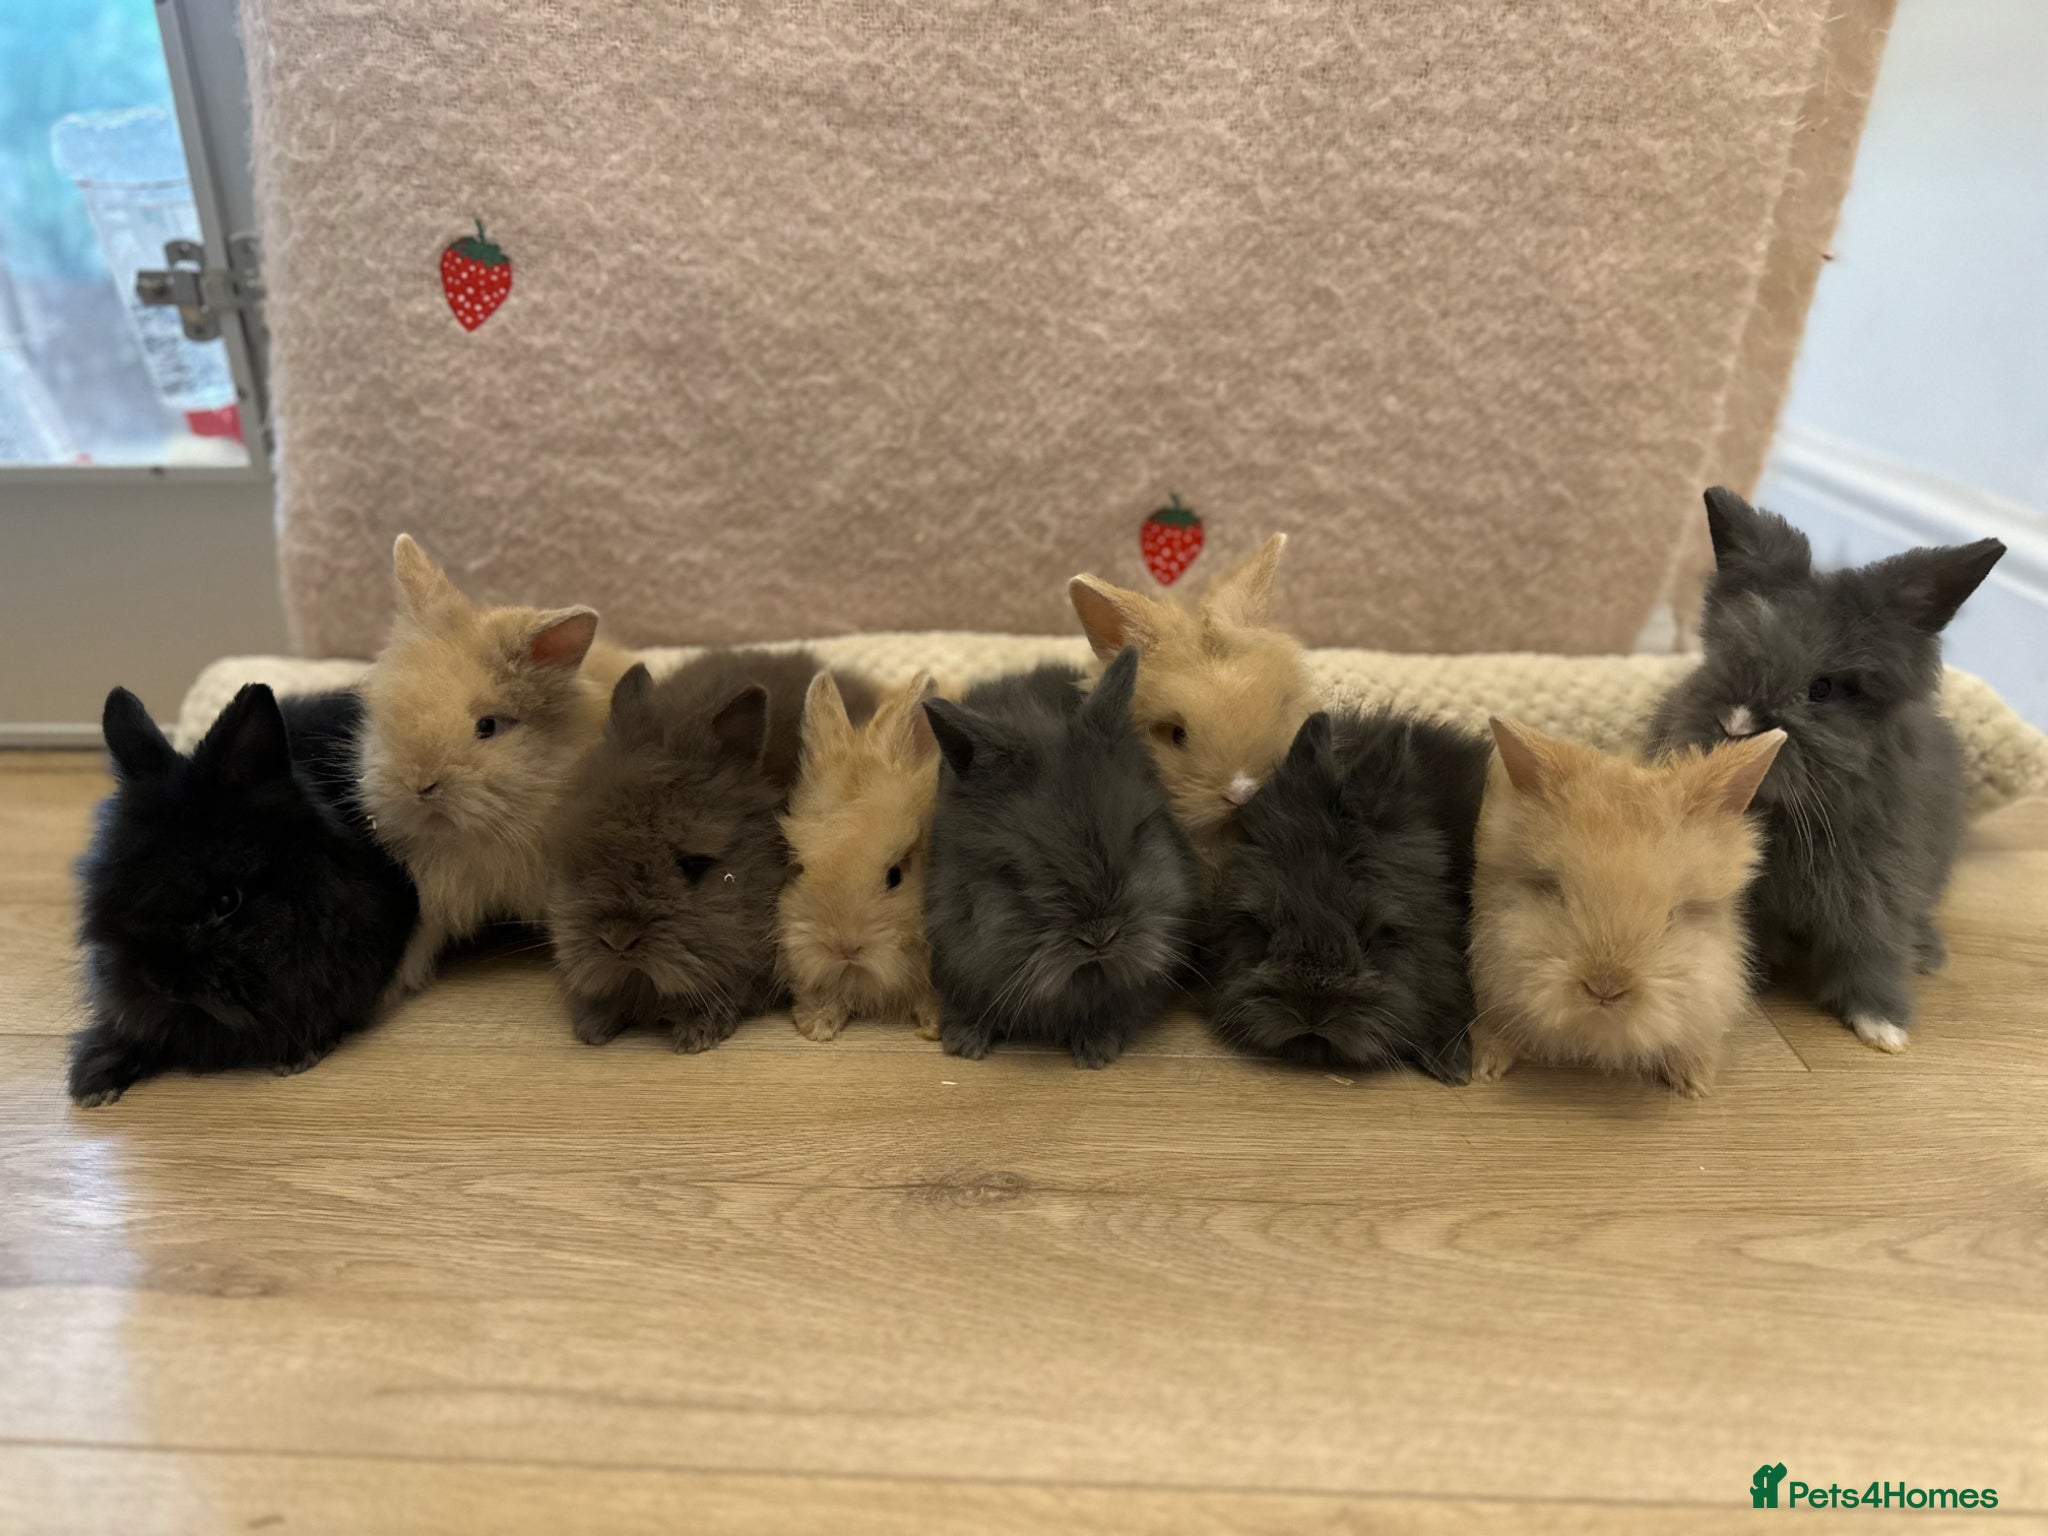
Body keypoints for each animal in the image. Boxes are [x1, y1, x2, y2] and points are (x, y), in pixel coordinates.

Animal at [1648, 487, 2005, 1053]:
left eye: (1823, 689)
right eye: (1725, 656)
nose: (1735, 725)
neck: (1782, 815)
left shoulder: (1878, 891)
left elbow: (1873, 949)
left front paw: (1883, 1029)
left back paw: (1928, 955)